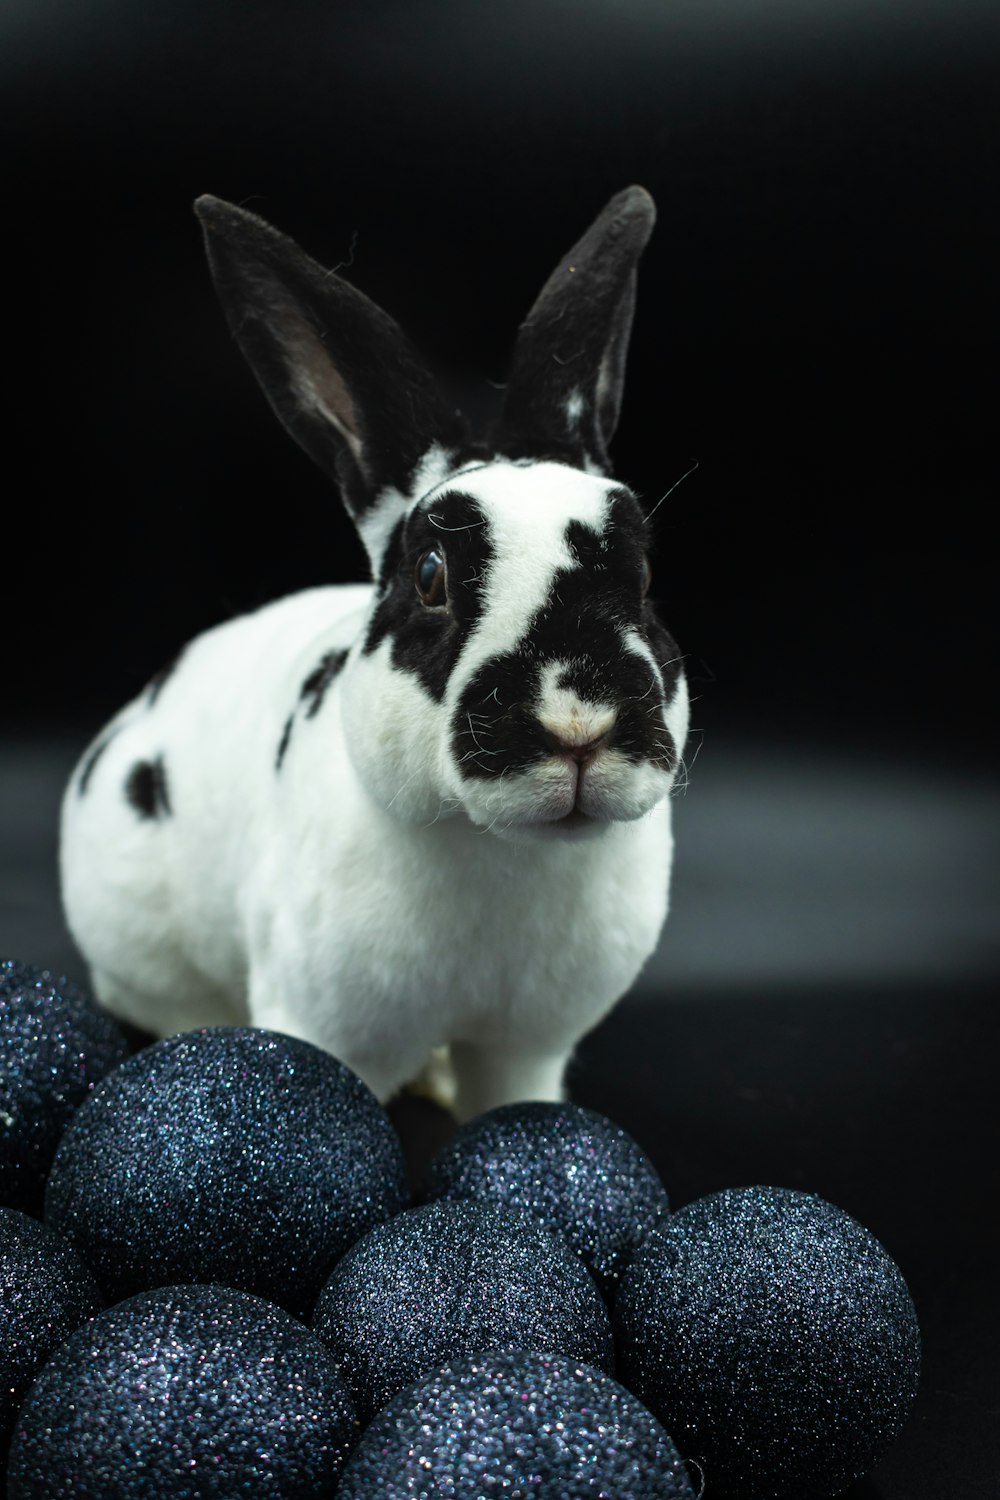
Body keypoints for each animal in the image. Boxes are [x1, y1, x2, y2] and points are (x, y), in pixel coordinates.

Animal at [58, 187, 692, 1122]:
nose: (577, 724)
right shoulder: (324, 1023)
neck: (504, 854)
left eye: (644, 577)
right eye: (429, 577)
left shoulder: (527, 1050)